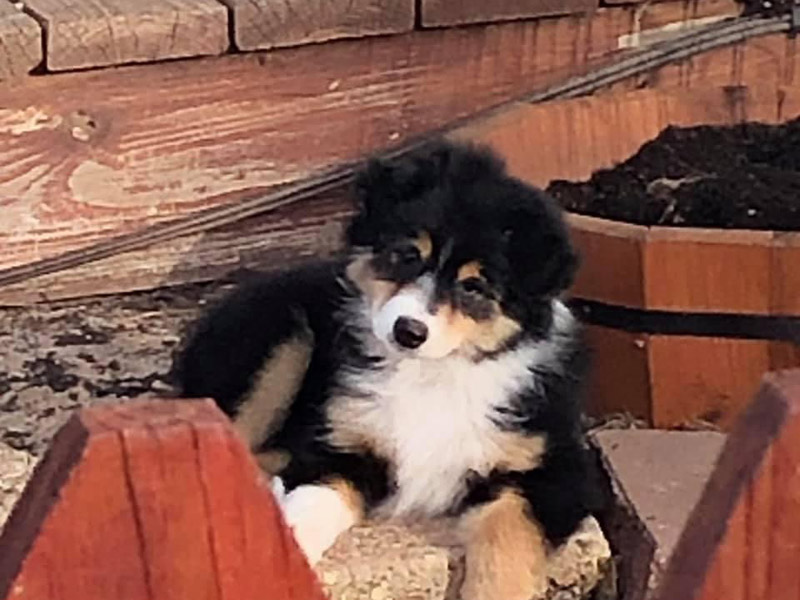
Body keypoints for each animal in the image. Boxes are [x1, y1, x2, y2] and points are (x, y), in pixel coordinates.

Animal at [173, 141, 600, 600]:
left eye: (474, 286)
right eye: (407, 255)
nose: (408, 331)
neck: (432, 373)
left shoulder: (555, 472)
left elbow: (508, 535)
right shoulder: (342, 446)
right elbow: (313, 498)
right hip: (282, 340)